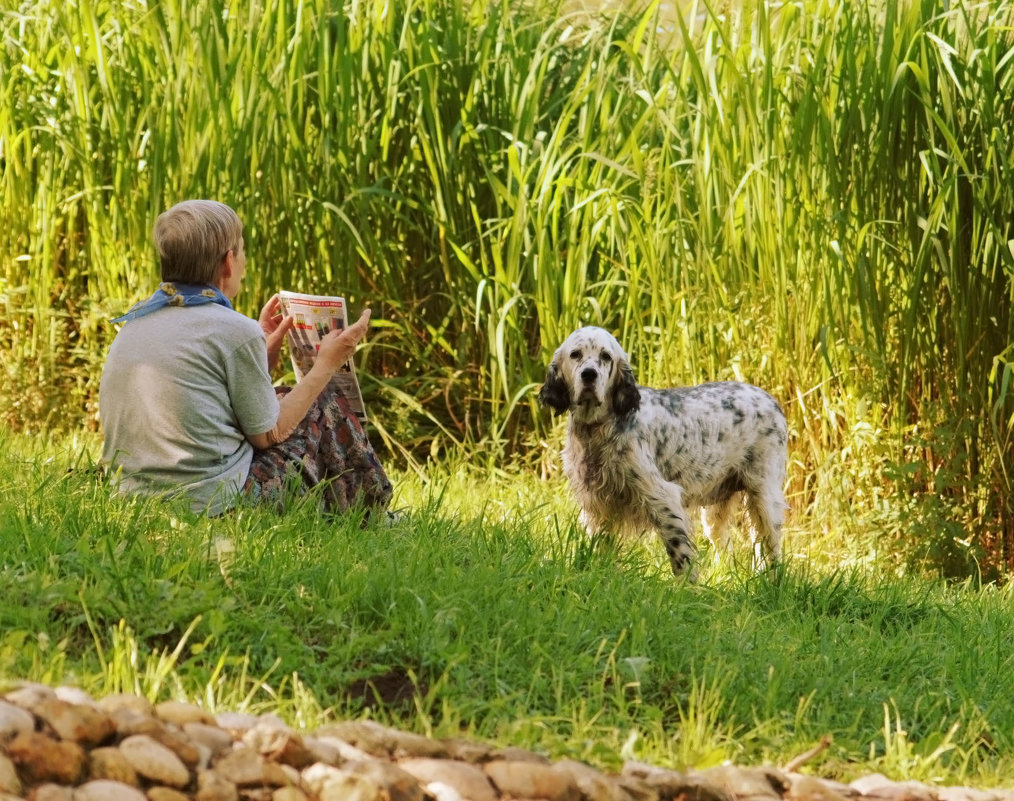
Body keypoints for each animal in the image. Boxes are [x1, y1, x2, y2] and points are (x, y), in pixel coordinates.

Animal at [543, 328, 786, 579]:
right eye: (575, 354)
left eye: (606, 356)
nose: (589, 375)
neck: (597, 430)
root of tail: (770, 399)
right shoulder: (597, 507)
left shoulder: (663, 498)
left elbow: (680, 554)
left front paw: (686, 587)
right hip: (716, 509)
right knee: (728, 546)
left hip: (764, 497)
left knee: (771, 548)